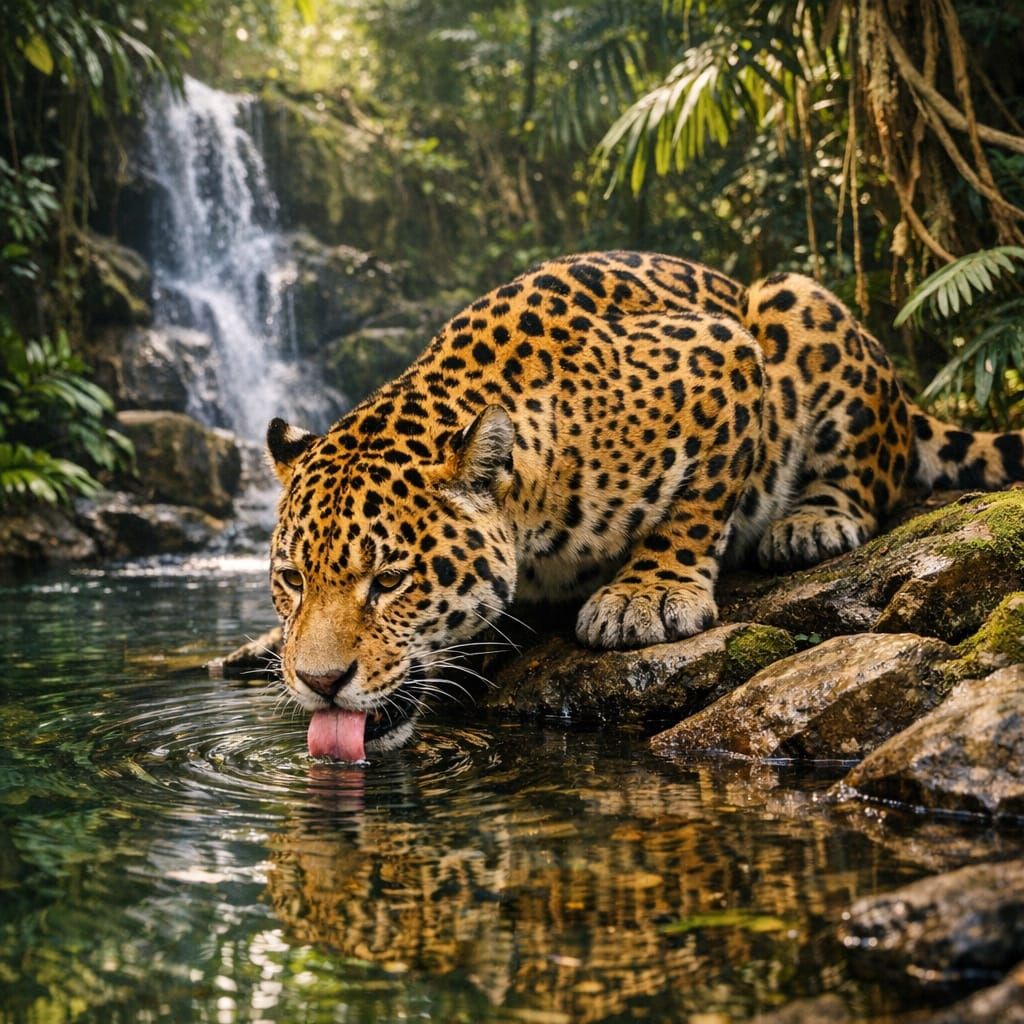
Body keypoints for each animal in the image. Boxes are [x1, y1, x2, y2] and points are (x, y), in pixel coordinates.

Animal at [267, 250, 1024, 759]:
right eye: (293, 580)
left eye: (391, 580)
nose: (319, 682)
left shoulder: (723, 359)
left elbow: (697, 500)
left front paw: (646, 596)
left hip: (793, 300)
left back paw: (812, 520)